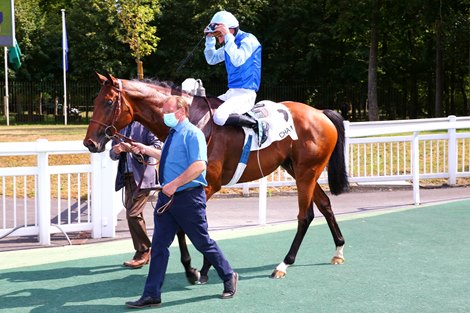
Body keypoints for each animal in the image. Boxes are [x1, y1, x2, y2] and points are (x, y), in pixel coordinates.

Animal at [83, 72, 348, 282]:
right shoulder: (181, 186)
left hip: (306, 172)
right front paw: (196, 268)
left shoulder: (206, 186)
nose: (90, 143)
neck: (191, 123)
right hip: (299, 170)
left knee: (305, 216)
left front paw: (198, 269)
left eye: (108, 102)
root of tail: (321, 113)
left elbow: (193, 228)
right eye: (95, 101)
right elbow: (187, 228)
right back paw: (338, 250)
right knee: (324, 204)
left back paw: (284, 264)